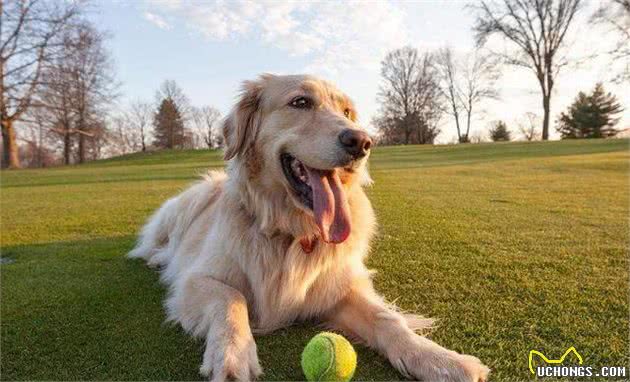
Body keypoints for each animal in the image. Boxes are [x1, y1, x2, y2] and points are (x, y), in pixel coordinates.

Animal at [130, 73, 494, 380]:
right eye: (301, 102)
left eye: (347, 111)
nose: (362, 142)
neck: (293, 233)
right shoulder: (196, 280)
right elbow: (232, 299)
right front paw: (232, 356)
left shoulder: (340, 287)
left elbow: (388, 320)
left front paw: (440, 360)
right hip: (190, 201)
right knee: (154, 244)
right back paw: (157, 257)